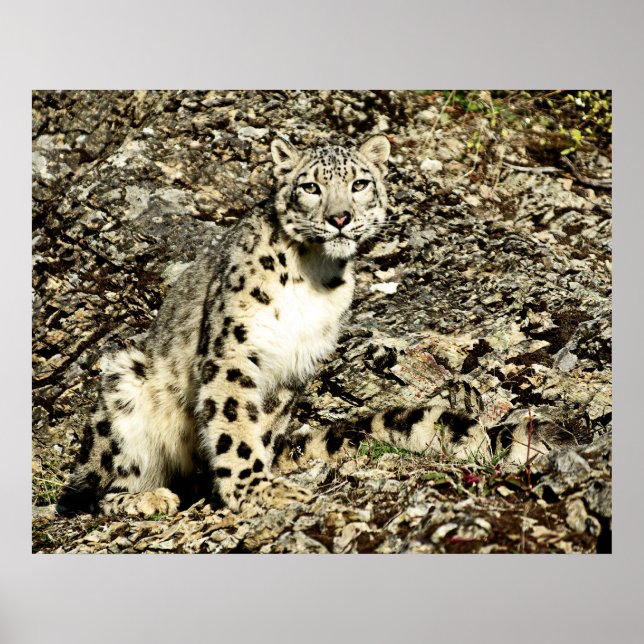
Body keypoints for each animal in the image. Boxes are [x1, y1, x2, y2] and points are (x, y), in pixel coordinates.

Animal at [57, 134, 572, 517]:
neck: (313, 274)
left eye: (360, 183)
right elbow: (235, 424)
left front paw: (259, 479)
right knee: (96, 489)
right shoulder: (234, 350)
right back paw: (146, 498)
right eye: (310, 187)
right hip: (125, 384)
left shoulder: (293, 365)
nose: (340, 217)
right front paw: (254, 491)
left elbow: (261, 428)